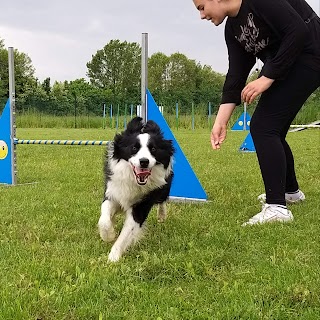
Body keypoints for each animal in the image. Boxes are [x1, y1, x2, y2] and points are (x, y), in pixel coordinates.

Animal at [98, 116, 175, 262]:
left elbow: (127, 233)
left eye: (153, 149)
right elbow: (104, 218)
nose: (144, 161)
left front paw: (113, 257)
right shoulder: (113, 192)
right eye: (134, 147)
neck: (134, 180)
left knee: (162, 200)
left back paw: (161, 216)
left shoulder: (141, 205)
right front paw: (108, 235)